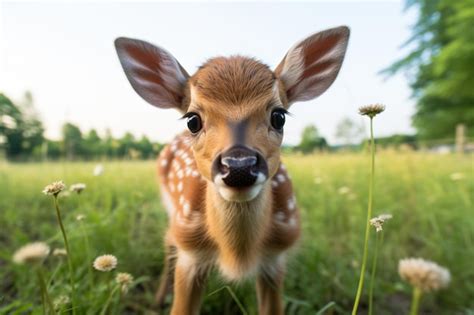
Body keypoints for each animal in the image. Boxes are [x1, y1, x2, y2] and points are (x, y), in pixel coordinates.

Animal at [115, 25, 348, 314]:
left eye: (279, 116)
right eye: (193, 120)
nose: (239, 166)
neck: (237, 253)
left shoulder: (275, 257)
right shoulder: (190, 252)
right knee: (168, 241)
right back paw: (158, 299)